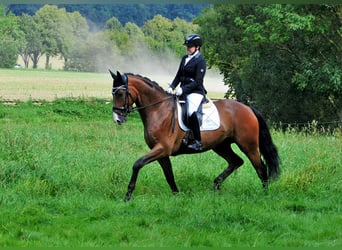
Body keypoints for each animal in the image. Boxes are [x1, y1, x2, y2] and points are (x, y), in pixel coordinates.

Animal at [110, 70, 280, 201]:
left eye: (120, 93)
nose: (117, 119)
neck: (159, 110)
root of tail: (248, 108)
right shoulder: (162, 152)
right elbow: (169, 174)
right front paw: (176, 195)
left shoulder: (162, 148)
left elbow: (137, 164)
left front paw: (128, 195)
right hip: (221, 145)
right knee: (236, 161)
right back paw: (216, 185)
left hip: (248, 145)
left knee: (260, 167)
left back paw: (264, 194)